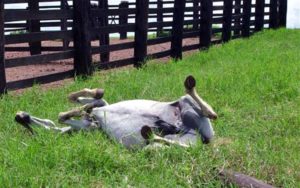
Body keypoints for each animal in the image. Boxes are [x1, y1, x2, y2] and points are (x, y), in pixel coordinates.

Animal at [15, 75, 218, 149]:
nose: (19, 116)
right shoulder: (89, 124)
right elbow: (65, 116)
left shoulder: (98, 109)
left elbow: (74, 103)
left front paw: (85, 103)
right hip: (162, 146)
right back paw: (151, 131)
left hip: (186, 111)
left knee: (209, 112)